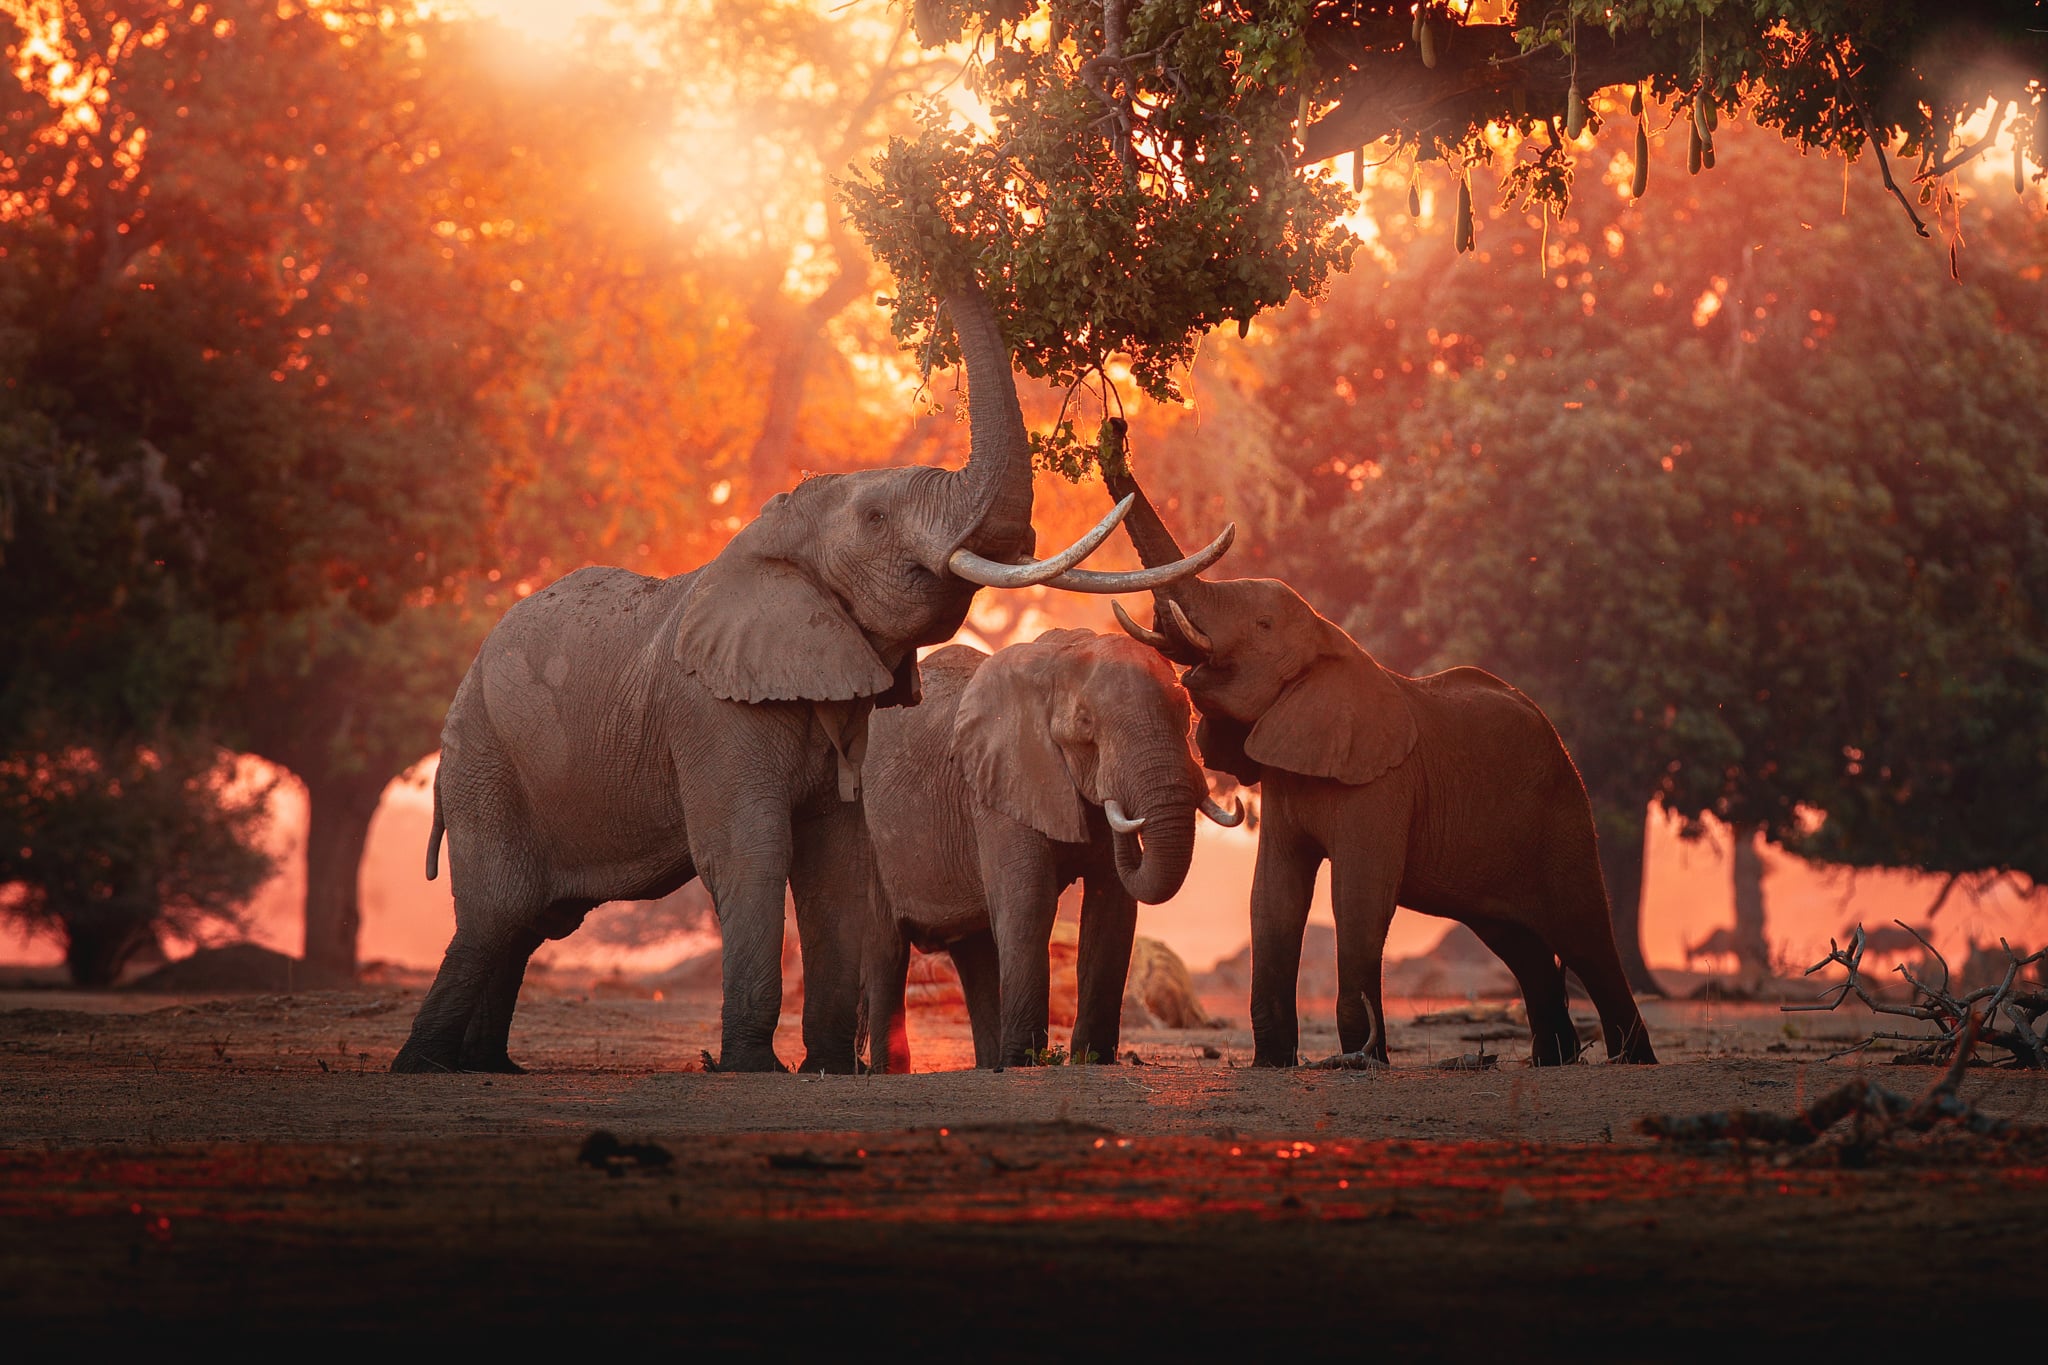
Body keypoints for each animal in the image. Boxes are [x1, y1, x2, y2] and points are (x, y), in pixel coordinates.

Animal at [861, 630, 1244, 1071]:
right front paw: (1025, 1062)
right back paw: (898, 1070)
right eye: (1085, 724)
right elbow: (1030, 904)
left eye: (1186, 713)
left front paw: (1093, 1061)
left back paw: (990, 1064)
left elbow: (1111, 908)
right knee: (887, 951)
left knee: (973, 950)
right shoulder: (999, 784)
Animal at [1100, 472, 1656, 1069]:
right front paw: (1273, 1063)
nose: (1117, 448)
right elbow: (1273, 895)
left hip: (1564, 812)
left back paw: (1632, 1060)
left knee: (1585, 938)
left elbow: (1359, 896)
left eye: (1264, 624)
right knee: (1519, 944)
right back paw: (1555, 1060)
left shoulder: (1382, 786)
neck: (1331, 640)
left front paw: (1365, 1062)